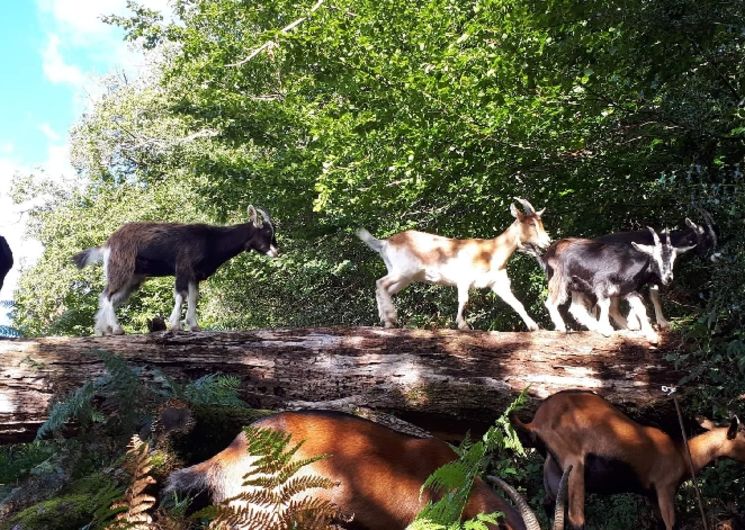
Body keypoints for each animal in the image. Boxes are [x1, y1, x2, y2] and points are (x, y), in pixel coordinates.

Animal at [74, 205, 278, 334]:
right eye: (267, 232)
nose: (276, 251)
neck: (211, 239)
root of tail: (108, 244)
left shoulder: (195, 275)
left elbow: (194, 297)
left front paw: (194, 326)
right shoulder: (183, 266)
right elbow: (181, 294)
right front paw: (175, 325)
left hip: (133, 278)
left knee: (109, 297)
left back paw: (103, 329)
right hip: (121, 267)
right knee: (107, 295)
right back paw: (116, 329)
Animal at [358, 198, 548, 330]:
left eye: (541, 222)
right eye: (531, 223)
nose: (547, 242)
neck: (490, 251)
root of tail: (384, 243)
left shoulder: (497, 283)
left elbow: (516, 303)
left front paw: (534, 326)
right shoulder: (464, 279)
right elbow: (463, 300)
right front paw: (463, 325)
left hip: (406, 277)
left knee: (384, 289)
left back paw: (386, 319)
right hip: (403, 271)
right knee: (380, 283)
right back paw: (390, 318)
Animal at [508, 388, 744, 528]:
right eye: (743, 435)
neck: (682, 453)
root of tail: (535, 423)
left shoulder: (651, 495)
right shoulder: (665, 488)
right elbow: (671, 524)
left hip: (553, 473)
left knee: (549, 507)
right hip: (574, 467)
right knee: (576, 518)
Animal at [536, 227, 696, 342]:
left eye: (674, 259)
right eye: (654, 258)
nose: (668, 278)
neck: (626, 263)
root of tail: (550, 250)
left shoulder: (629, 290)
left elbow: (640, 307)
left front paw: (650, 335)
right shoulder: (601, 283)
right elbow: (605, 304)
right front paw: (606, 329)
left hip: (577, 286)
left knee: (576, 309)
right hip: (559, 278)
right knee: (551, 302)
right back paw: (561, 327)